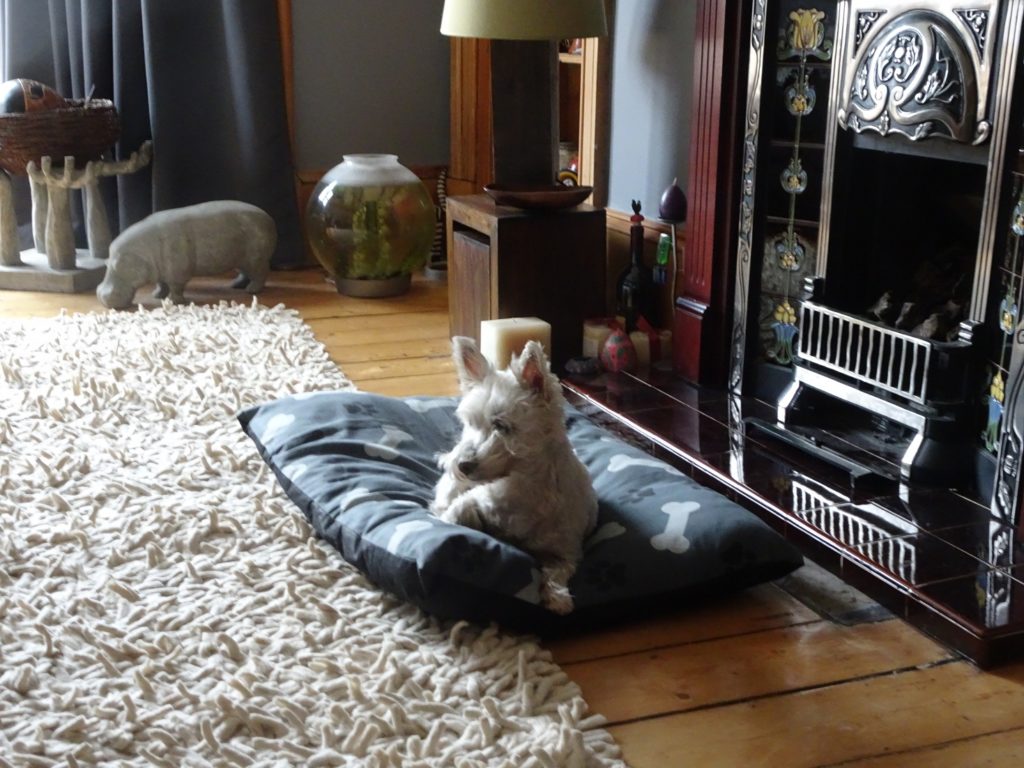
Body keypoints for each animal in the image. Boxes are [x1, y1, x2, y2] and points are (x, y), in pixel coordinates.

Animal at [432, 339, 598, 618]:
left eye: (502, 426)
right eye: (470, 422)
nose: (462, 465)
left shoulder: (564, 549)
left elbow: (558, 572)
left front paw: (558, 598)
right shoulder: (474, 498)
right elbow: (459, 508)